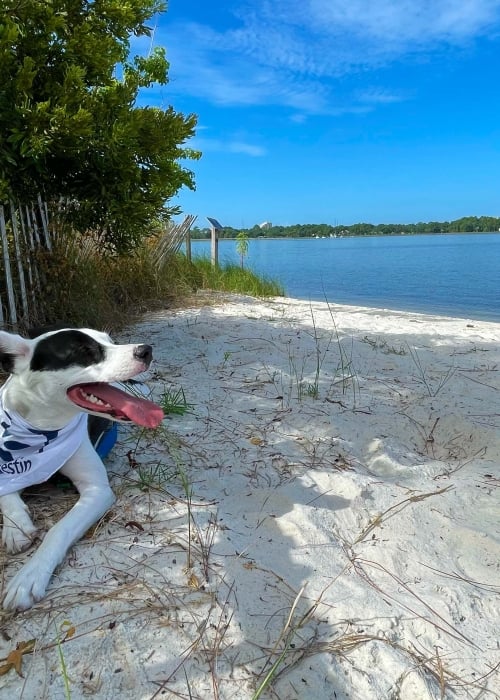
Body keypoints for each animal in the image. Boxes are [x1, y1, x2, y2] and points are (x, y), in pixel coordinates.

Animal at [0, 326, 164, 608]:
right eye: (85, 351)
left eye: (110, 341)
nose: (146, 350)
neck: (41, 427)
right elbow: (7, 495)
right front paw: (15, 529)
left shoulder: (97, 491)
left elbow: (59, 529)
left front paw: (29, 576)